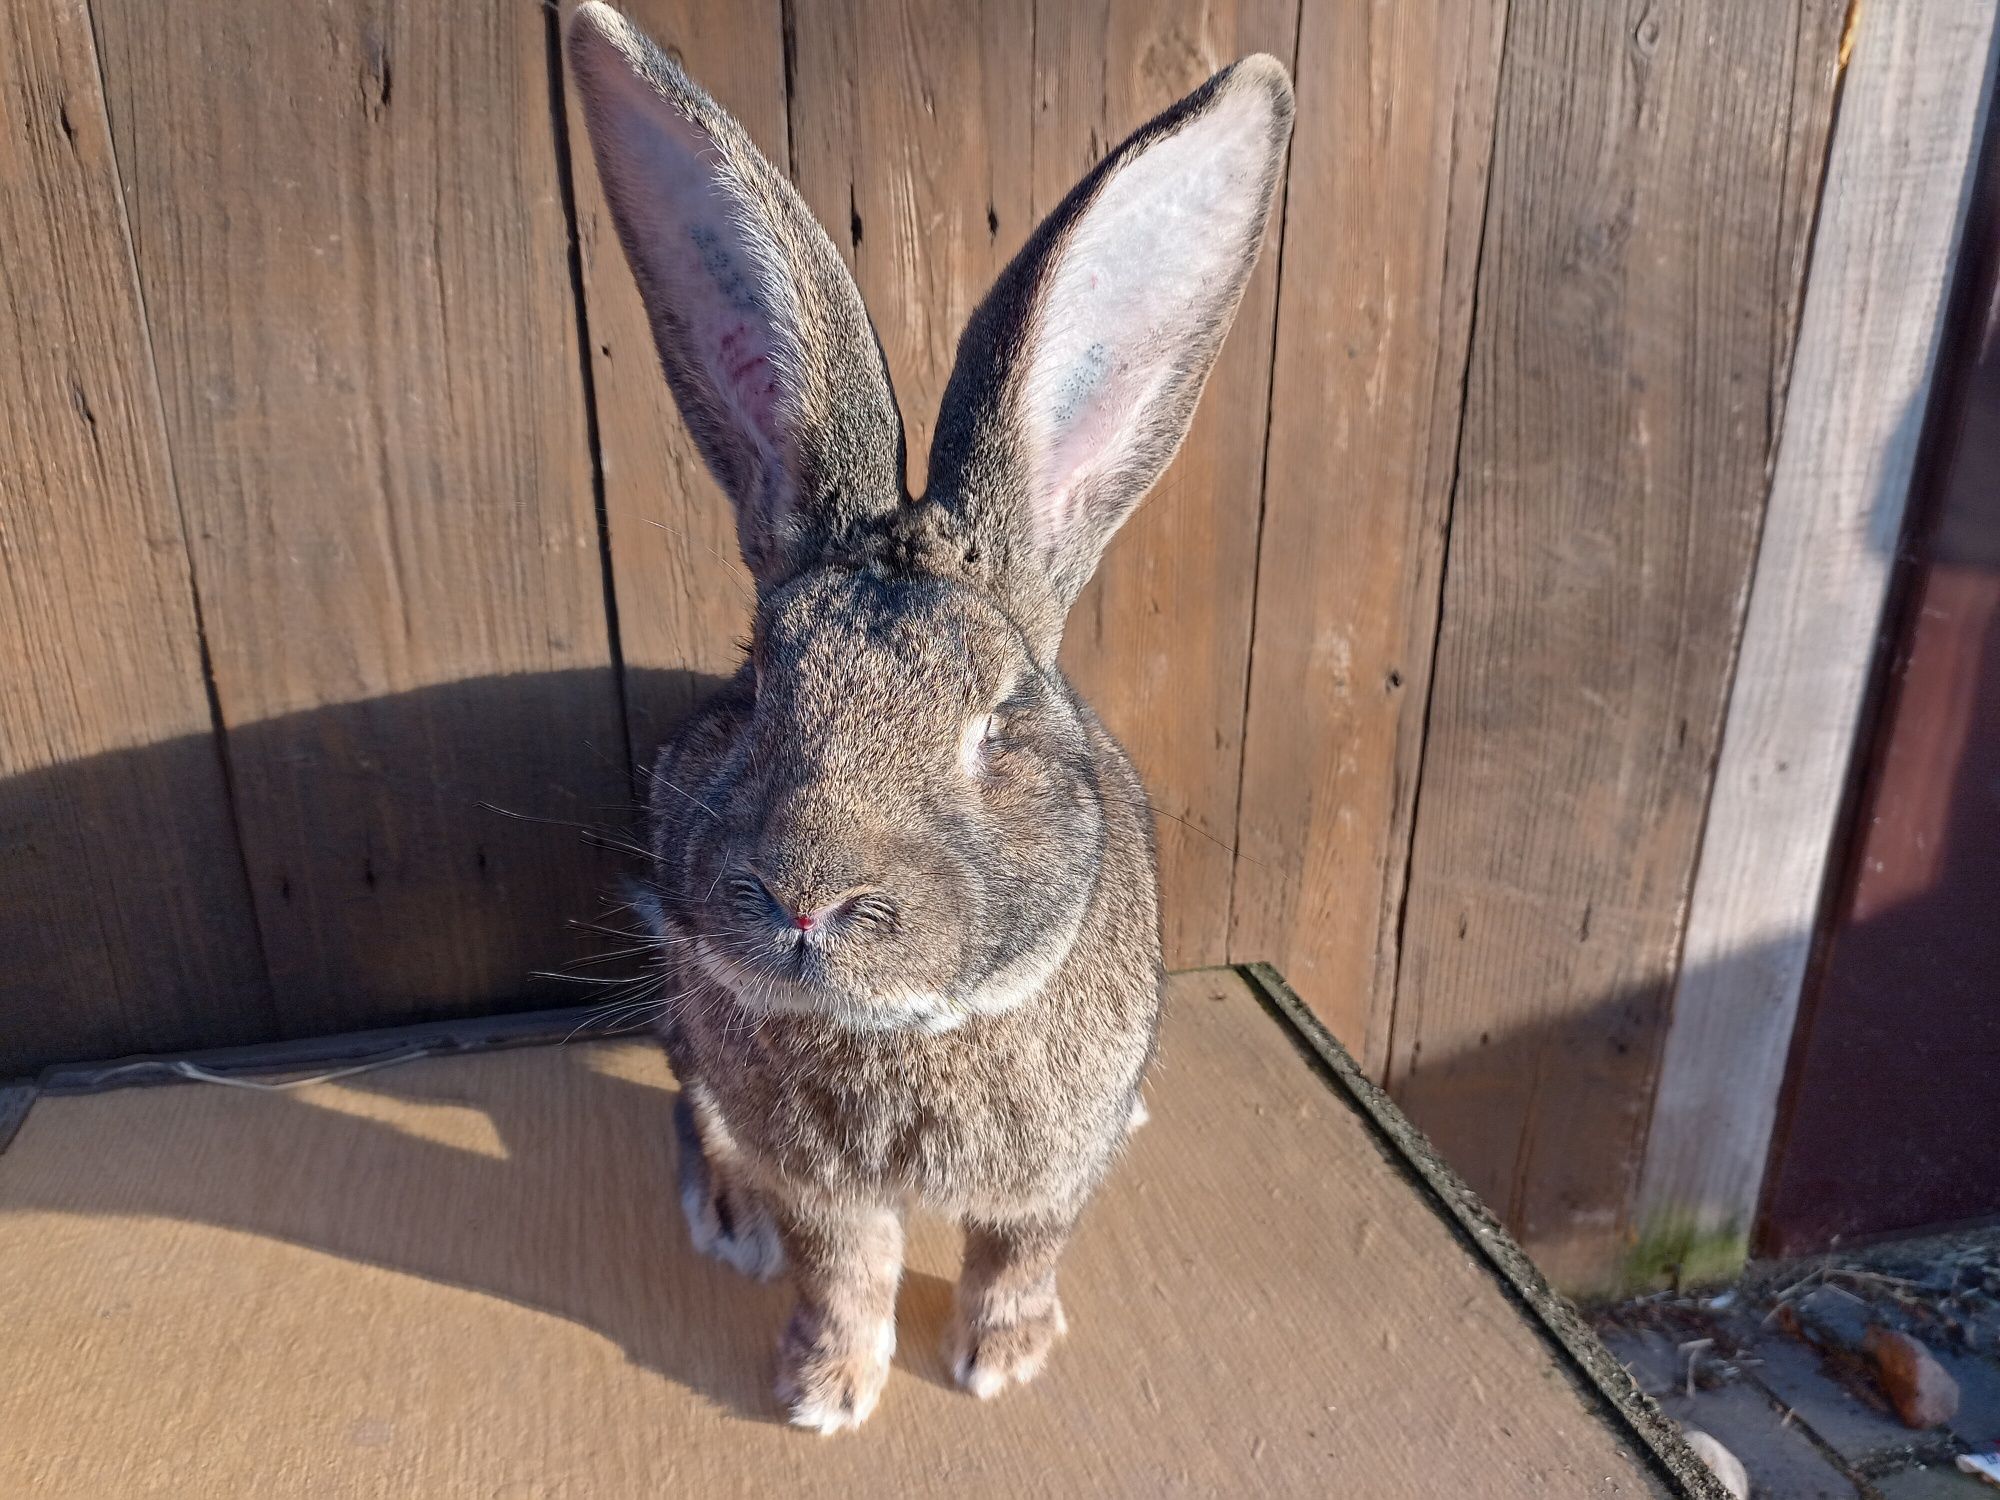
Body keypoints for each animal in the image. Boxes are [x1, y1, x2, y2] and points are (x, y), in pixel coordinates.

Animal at [564, 2, 1296, 1432]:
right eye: (755, 682)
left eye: (998, 719)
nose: (806, 901)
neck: (907, 1032)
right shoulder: (822, 1188)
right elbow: (839, 1266)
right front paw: (821, 1391)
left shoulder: (1045, 1176)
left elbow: (1020, 1251)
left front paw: (1000, 1362)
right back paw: (724, 1213)